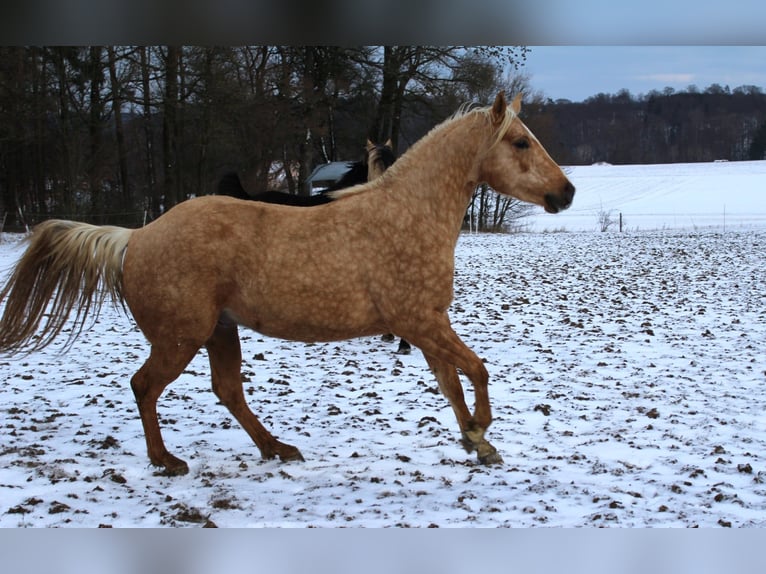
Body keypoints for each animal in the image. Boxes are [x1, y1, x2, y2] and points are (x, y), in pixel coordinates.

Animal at [0, 92, 574, 476]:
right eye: (520, 142)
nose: (565, 193)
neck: (406, 215)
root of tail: (135, 236)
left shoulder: (427, 325)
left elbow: (453, 383)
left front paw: (477, 443)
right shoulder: (419, 321)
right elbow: (476, 371)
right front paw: (481, 432)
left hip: (219, 331)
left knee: (227, 390)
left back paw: (277, 449)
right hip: (181, 337)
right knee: (145, 386)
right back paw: (167, 460)